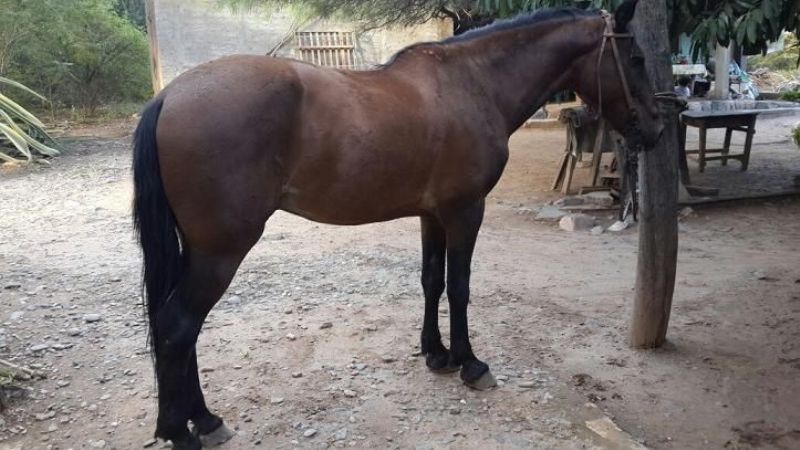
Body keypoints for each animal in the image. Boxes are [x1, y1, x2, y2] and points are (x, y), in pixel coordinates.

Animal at [132, 2, 662, 448]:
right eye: (635, 58)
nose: (656, 128)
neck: (473, 84)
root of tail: (170, 97)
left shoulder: (433, 215)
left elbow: (431, 282)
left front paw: (436, 354)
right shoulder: (466, 211)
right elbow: (459, 286)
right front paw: (471, 363)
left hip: (198, 249)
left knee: (176, 327)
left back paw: (200, 420)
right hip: (221, 251)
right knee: (179, 326)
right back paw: (184, 431)